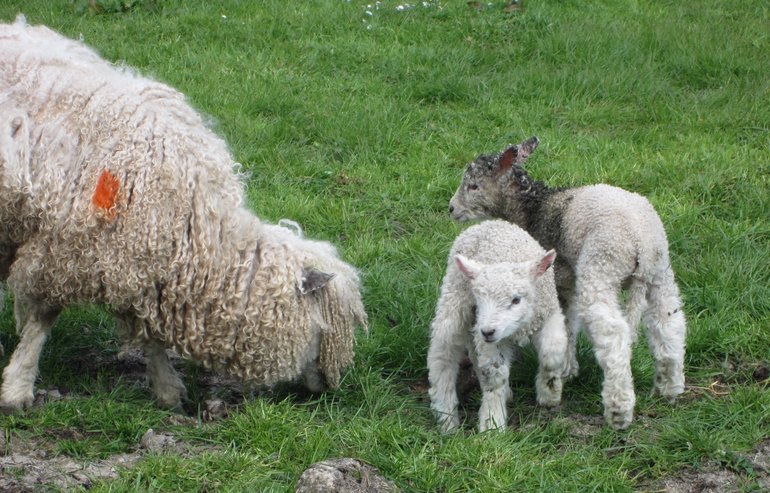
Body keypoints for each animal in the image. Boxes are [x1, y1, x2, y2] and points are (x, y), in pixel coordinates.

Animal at [0, 16, 367, 412]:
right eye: (323, 329)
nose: (329, 387)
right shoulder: (59, 250)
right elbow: (41, 321)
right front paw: (18, 387)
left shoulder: (140, 264)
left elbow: (151, 333)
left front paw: (166, 388)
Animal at [428, 220, 568, 433]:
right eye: (480, 299)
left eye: (516, 300)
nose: (487, 331)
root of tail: (487, 223)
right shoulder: (489, 338)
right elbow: (495, 375)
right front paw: (492, 425)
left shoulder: (548, 313)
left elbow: (552, 354)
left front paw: (549, 393)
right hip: (455, 300)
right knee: (442, 355)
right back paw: (447, 419)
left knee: (473, 355)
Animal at [448, 136, 687, 429]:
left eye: (473, 185)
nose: (452, 208)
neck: (533, 210)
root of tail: (642, 243)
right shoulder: (569, 278)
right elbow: (569, 322)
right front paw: (569, 368)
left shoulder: (559, 275)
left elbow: (567, 324)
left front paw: (564, 370)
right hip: (660, 274)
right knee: (669, 324)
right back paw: (669, 389)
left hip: (601, 266)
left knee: (614, 334)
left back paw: (618, 410)